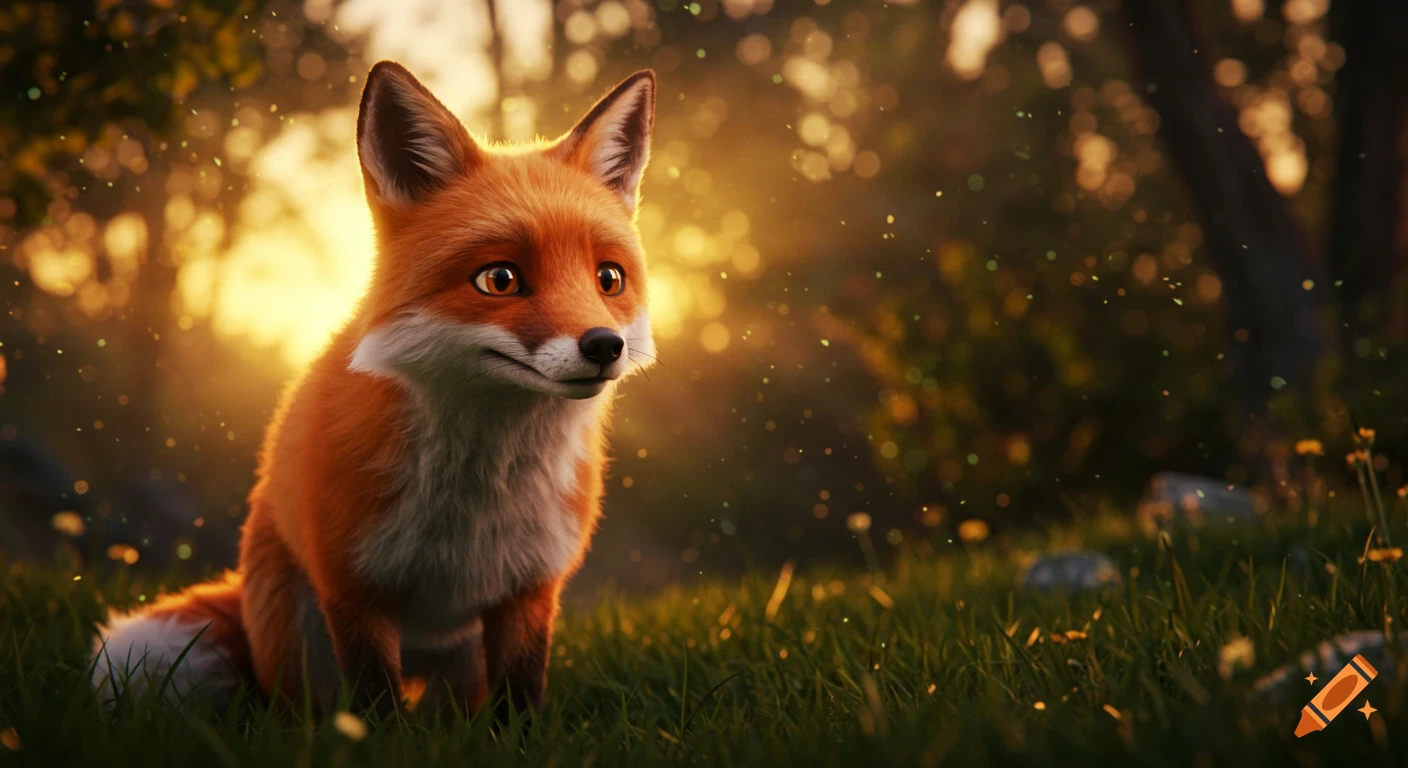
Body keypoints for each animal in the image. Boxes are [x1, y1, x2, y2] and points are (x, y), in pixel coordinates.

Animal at [90, 61, 658, 717]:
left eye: (608, 278)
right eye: (500, 279)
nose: (604, 346)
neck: (473, 496)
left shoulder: (528, 590)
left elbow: (519, 701)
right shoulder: (353, 591)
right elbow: (376, 708)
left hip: (459, 667)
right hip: (295, 645)